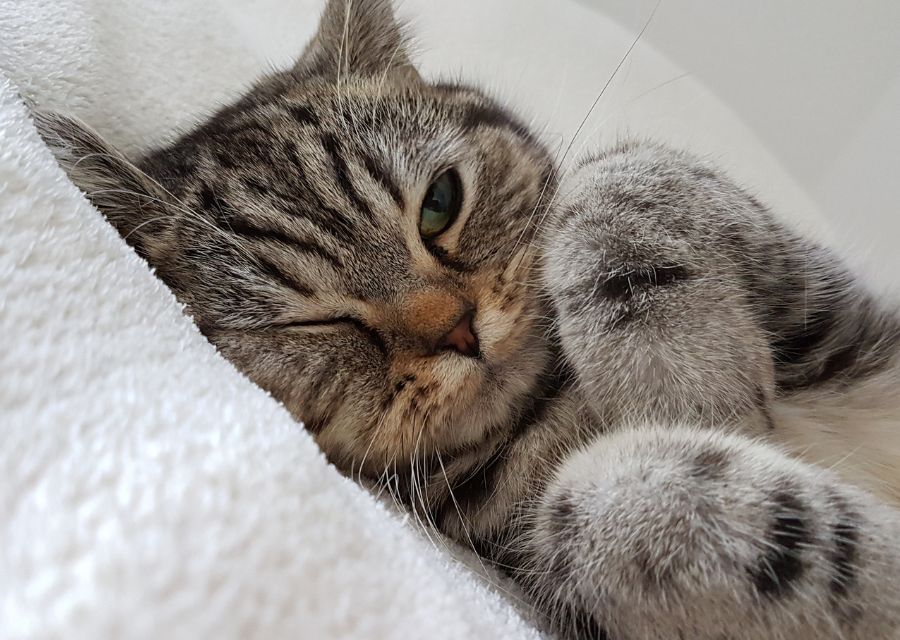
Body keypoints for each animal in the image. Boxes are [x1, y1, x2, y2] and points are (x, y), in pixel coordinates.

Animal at [33, 1, 900, 636]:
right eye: (309, 326)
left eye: (440, 203)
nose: (458, 330)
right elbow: (601, 499)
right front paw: (692, 417)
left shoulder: (855, 318)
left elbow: (622, 170)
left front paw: (687, 378)